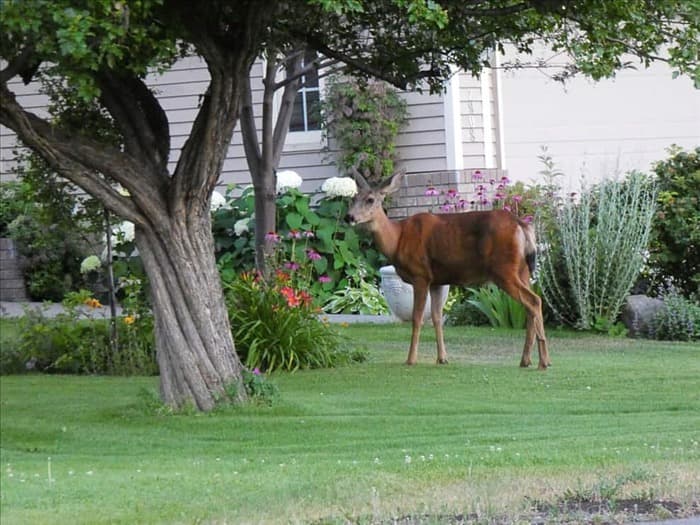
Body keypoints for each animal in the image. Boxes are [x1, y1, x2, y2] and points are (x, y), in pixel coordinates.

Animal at [346, 172, 552, 368]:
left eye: (370, 199)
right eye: (353, 198)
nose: (349, 217)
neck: (397, 239)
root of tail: (523, 225)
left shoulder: (420, 274)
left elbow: (417, 318)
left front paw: (411, 359)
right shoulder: (437, 281)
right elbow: (437, 318)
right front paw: (442, 358)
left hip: (504, 270)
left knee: (534, 301)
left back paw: (543, 361)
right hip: (523, 271)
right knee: (530, 306)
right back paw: (527, 360)